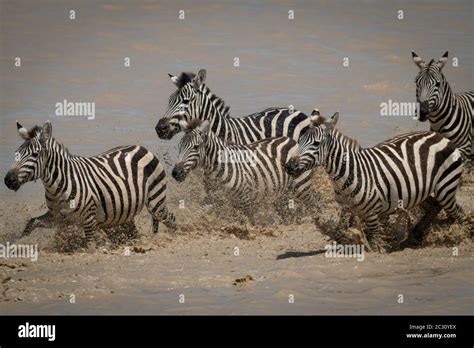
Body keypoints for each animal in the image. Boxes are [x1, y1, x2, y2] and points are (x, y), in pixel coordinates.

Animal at [4, 121, 176, 249]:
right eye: (17, 153)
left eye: (35, 154)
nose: (8, 180)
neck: (57, 185)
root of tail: (140, 147)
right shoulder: (56, 217)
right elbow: (31, 223)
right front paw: (20, 243)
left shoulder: (89, 218)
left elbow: (91, 246)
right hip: (124, 211)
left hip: (155, 201)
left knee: (170, 218)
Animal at [168, 119, 320, 223]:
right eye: (179, 146)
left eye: (195, 147)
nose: (176, 172)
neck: (219, 168)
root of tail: (291, 140)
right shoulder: (216, 201)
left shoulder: (245, 199)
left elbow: (248, 221)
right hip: (281, 191)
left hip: (301, 185)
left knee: (314, 203)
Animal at [286, 111, 464, 250]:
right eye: (299, 141)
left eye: (316, 144)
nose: (289, 166)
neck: (349, 172)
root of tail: (439, 136)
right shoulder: (346, 207)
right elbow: (339, 232)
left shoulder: (372, 213)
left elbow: (375, 242)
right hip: (418, 192)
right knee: (435, 207)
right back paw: (415, 236)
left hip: (445, 188)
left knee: (457, 212)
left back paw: (459, 236)